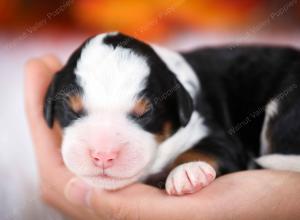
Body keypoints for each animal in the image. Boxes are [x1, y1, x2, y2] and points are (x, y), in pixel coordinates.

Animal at [44, 31, 300, 195]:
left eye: (145, 113)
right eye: (71, 109)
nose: (103, 156)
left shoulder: (215, 132)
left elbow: (211, 148)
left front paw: (188, 171)